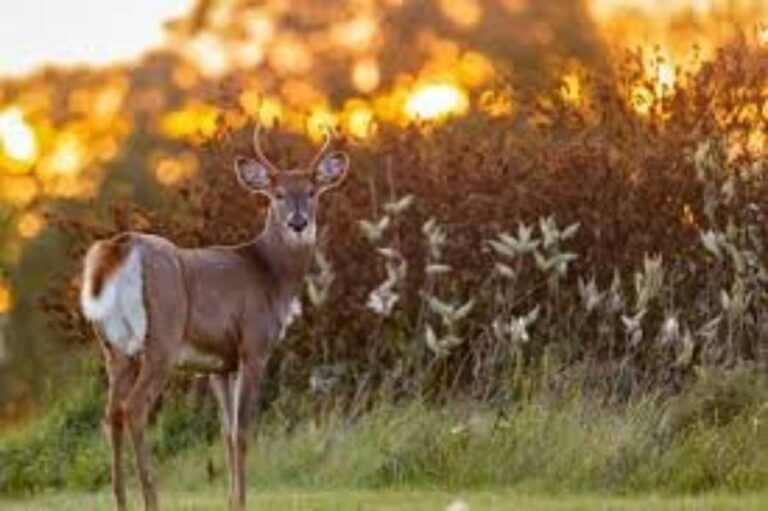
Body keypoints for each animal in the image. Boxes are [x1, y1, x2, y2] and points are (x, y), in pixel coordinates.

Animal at [79, 125, 349, 511]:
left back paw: (121, 501)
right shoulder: (253, 346)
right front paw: (243, 501)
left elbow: (226, 434)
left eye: (312, 193)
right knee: (135, 408)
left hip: (113, 348)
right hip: (161, 337)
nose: (298, 223)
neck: (270, 275)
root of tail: (120, 247)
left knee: (111, 412)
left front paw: (231, 500)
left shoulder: (219, 365)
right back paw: (152, 498)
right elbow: (244, 432)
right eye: (277, 195)